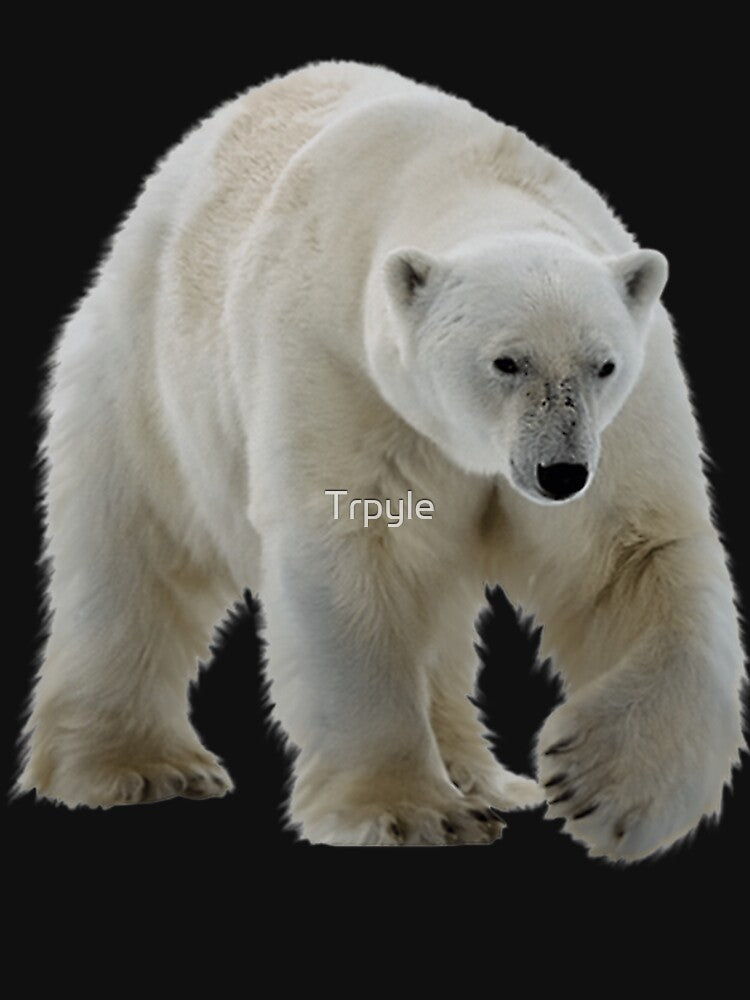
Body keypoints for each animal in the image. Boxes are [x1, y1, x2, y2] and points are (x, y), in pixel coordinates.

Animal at [17, 60, 746, 859]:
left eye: (603, 364)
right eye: (506, 361)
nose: (560, 474)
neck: (460, 172)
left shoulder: (626, 417)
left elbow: (631, 553)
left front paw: (605, 788)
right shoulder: (341, 370)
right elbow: (357, 552)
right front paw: (410, 812)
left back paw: (483, 776)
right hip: (148, 386)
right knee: (132, 557)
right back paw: (135, 765)